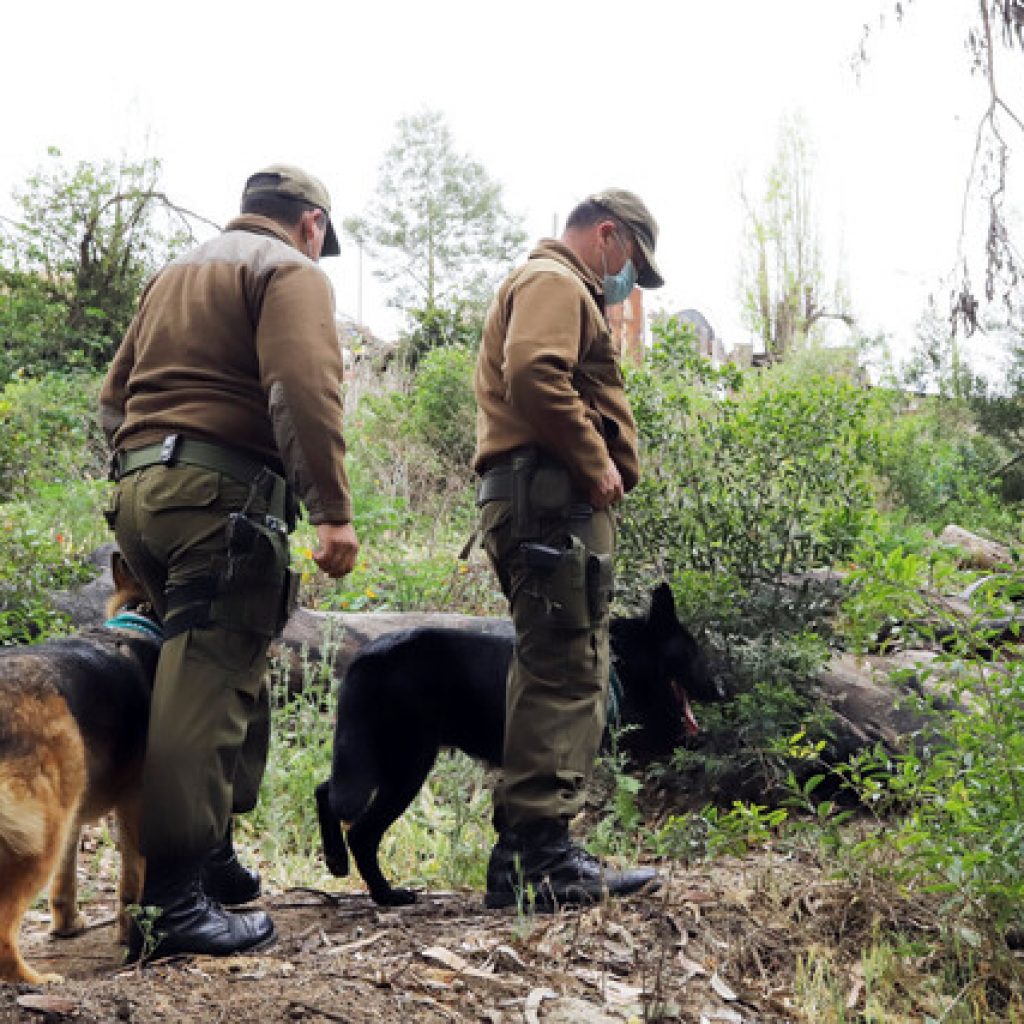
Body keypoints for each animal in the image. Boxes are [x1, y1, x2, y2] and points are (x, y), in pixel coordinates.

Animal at [0, 552, 160, 983]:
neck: (141, 618)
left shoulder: (74, 817)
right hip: (39, 836)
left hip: (53, 816)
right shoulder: (135, 805)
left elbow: (65, 881)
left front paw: (67, 926)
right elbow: (131, 881)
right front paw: (130, 935)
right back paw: (32, 979)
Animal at [315, 585, 724, 905]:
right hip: (406, 765)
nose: (722, 690)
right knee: (361, 830)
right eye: (695, 654)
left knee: (325, 790)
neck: (621, 660)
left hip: (374, 757)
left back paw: (339, 863)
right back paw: (386, 894)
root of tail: (369, 656)